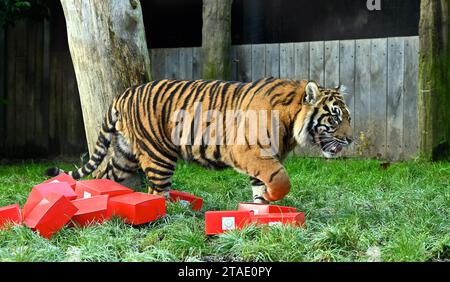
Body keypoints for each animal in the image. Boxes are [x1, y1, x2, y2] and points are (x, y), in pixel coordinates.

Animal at [46, 78, 356, 204]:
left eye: (348, 117)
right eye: (335, 118)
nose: (351, 139)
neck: (291, 121)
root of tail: (125, 93)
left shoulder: (264, 157)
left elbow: (261, 184)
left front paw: (260, 209)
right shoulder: (248, 150)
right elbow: (281, 179)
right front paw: (272, 198)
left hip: (124, 154)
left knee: (104, 174)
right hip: (158, 155)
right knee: (157, 192)